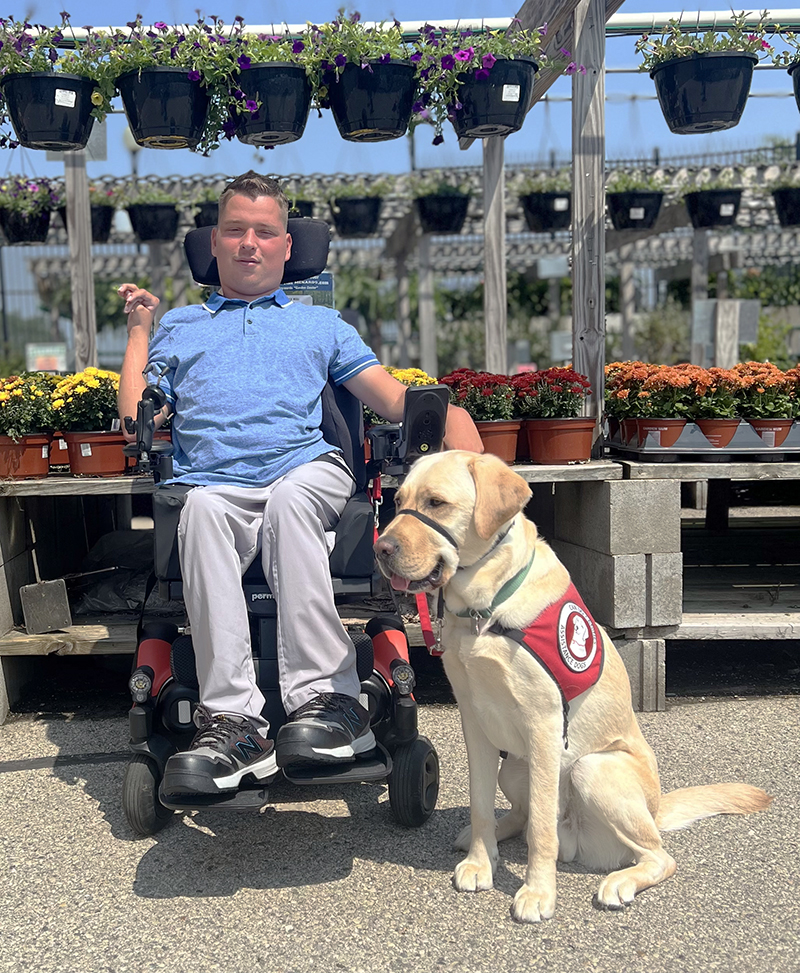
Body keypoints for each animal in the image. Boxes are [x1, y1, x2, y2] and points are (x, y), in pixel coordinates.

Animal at [378, 452, 772, 924]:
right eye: (397, 500)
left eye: (436, 503)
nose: (380, 548)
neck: (484, 609)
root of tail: (656, 810)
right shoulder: (474, 719)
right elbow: (480, 802)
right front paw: (480, 861)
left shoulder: (545, 725)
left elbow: (542, 830)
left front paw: (538, 893)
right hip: (515, 766)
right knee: (520, 814)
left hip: (593, 769)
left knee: (656, 854)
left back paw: (619, 881)